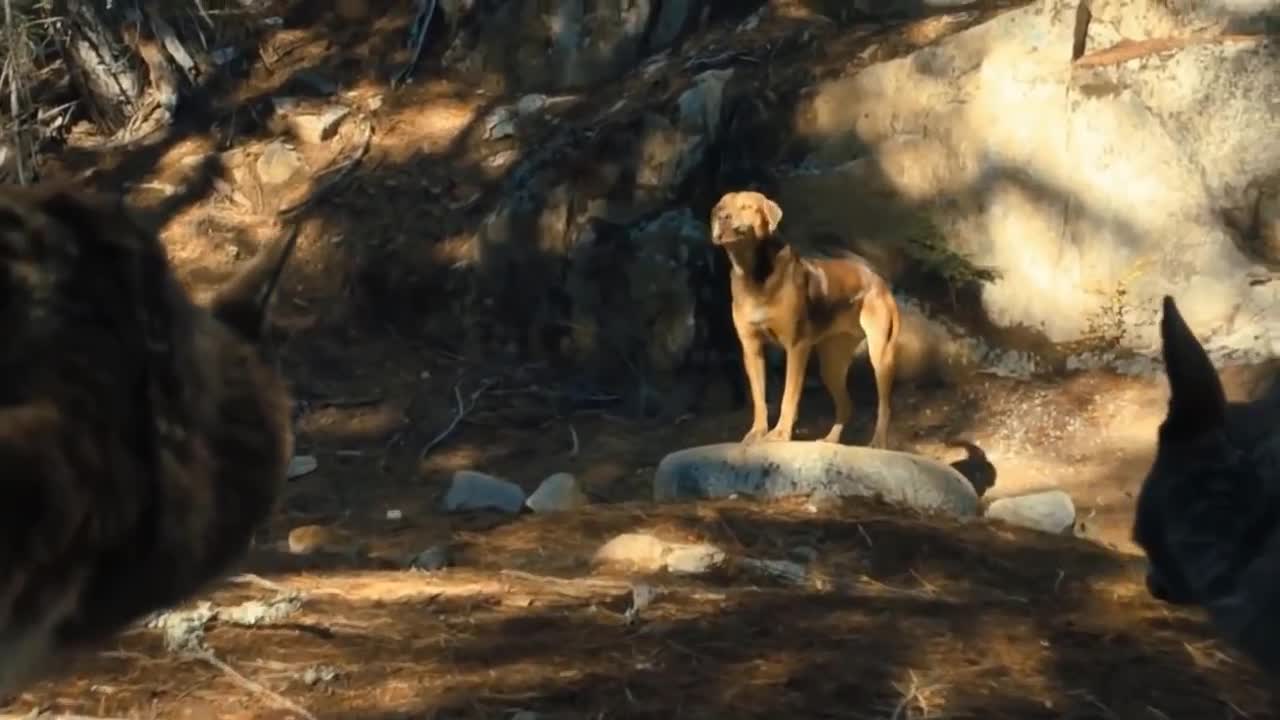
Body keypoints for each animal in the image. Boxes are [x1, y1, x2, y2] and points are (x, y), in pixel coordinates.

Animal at [711, 190, 901, 448]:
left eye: (746, 207)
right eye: (721, 208)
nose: (723, 218)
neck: (753, 273)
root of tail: (880, 281)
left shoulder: (797, 346)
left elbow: (788, 396)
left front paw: (780, 434)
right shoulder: (751, 348)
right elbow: (759, 398)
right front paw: (757, 432)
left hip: (880, 354)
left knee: (884, 407)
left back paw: (877, 442)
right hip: (831, 363)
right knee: (846, 406)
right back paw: (829, 440)